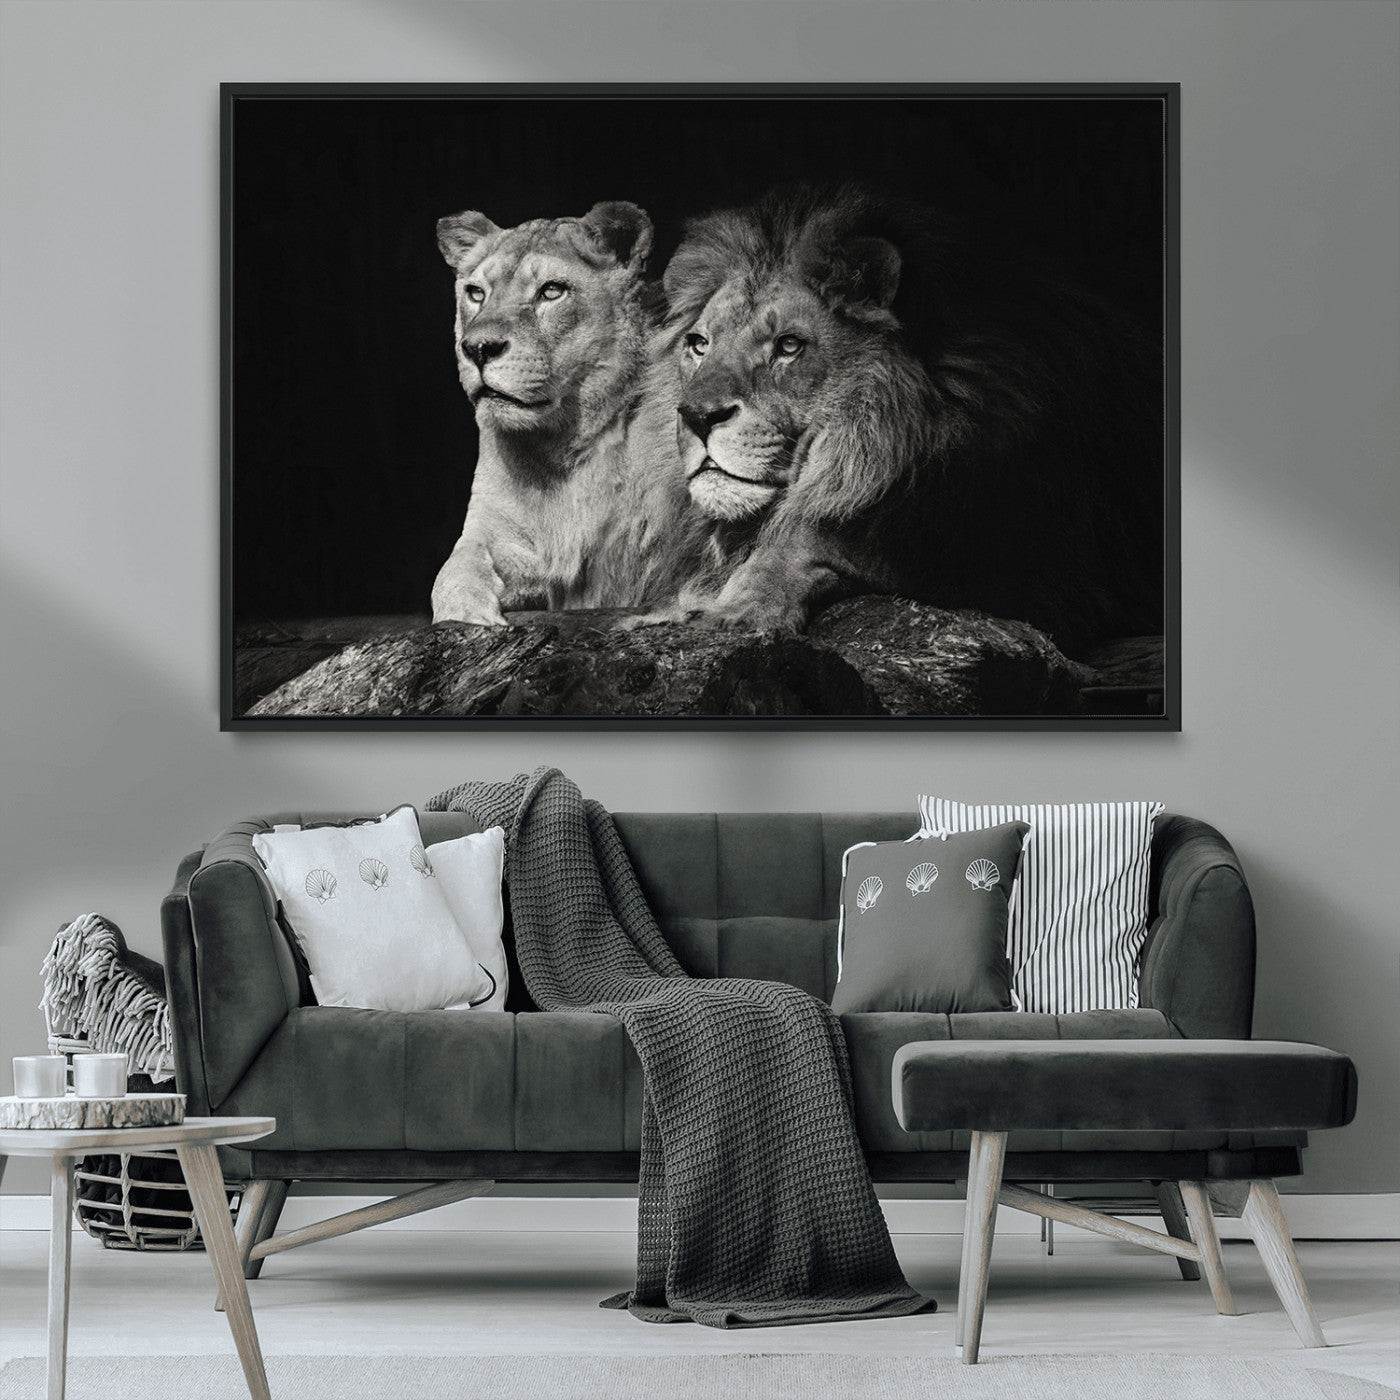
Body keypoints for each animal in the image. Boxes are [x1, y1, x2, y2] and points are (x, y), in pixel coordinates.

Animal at [431, 201, 709, 625]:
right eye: (476, 293)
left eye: (552, 291)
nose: (477, 348)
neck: (561, 446)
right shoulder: (493, 528)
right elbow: (452, 570)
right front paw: (468, 614)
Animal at [658, 186, 1164, 654]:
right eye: (699, 344)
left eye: (788, 346)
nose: (697, 416)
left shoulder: (1048, 574)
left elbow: (817, 533)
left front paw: (736, 606)